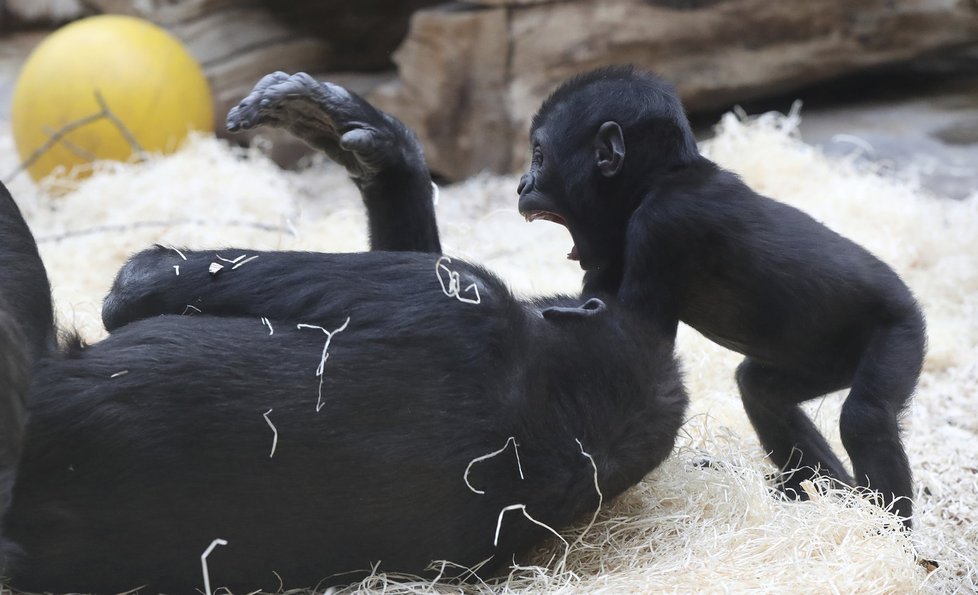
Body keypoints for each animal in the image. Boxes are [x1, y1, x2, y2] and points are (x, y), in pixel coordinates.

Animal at [516, 65, 928, 528]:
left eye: (539, 156)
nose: (522, 184)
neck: (654, 181)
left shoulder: (664, 223)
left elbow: (643, 344)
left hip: (900, 328)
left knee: (866, 417)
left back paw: (887, 531)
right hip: (827, 361)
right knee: (763, 391)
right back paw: (825, 492)